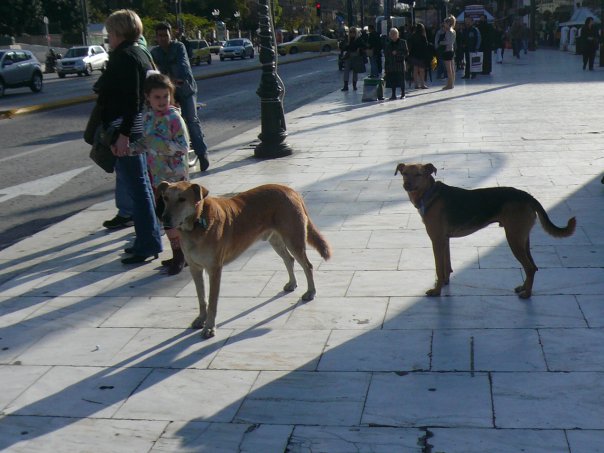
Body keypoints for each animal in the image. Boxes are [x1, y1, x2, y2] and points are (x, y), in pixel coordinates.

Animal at [158, 182, 332, 338]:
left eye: (182, 199)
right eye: (165, 198)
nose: (164, 219)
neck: (196, 223)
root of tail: (290, 190)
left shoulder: (214, 270)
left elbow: (212, 302)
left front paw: (209, 327)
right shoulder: (195, 269)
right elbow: (201, 298)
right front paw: (201, 319)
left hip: (293, 239)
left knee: (307, 265)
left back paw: (311, 292)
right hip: (275, 239)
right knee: (289, 259)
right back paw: (292, 283)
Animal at [394, 164, 580, 298]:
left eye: (419, 174)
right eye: (404, 173)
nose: (406, 185)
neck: (429, 193)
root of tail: (528, 197)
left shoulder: (437, 240)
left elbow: (439, 269)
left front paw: (436, 291)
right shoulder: (444, 240)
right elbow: (446, 266)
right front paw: (445, 283)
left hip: (513, 239)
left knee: (529, 267)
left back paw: (527, 294)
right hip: (522, 238)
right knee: (533, 266)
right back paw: (523, 288)